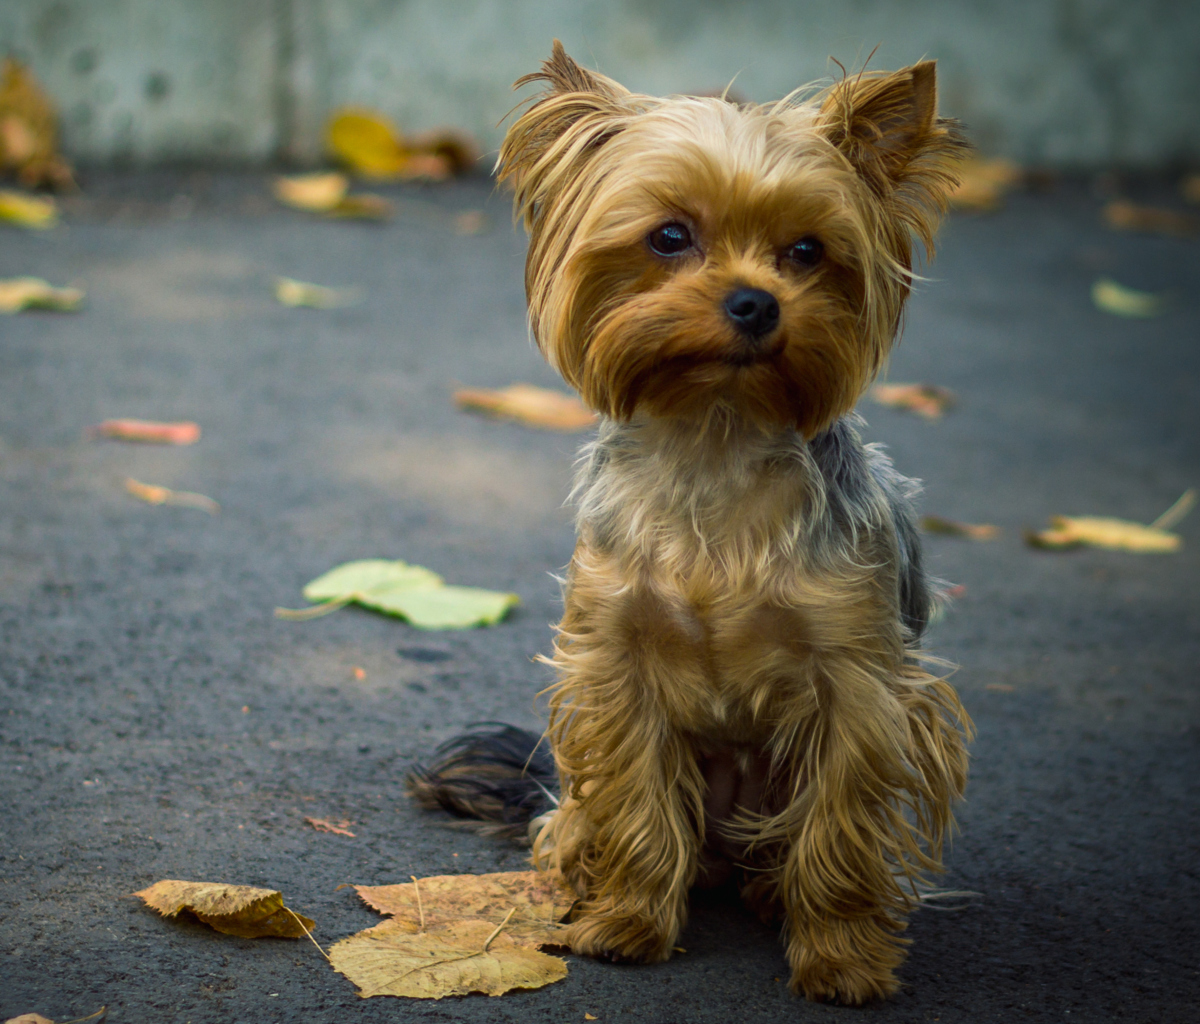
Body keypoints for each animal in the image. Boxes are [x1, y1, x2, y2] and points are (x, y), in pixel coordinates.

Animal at [408, 43, 969, 1003]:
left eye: (808, 251)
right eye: (669, 236)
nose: (755, 302)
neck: (715, 437)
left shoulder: (860, 686)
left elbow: (840, 829)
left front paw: (842, 959)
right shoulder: (617, 667)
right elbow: (636, 804)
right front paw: (628, 926)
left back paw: (772, 895)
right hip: (585, 790)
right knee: (581, 817)